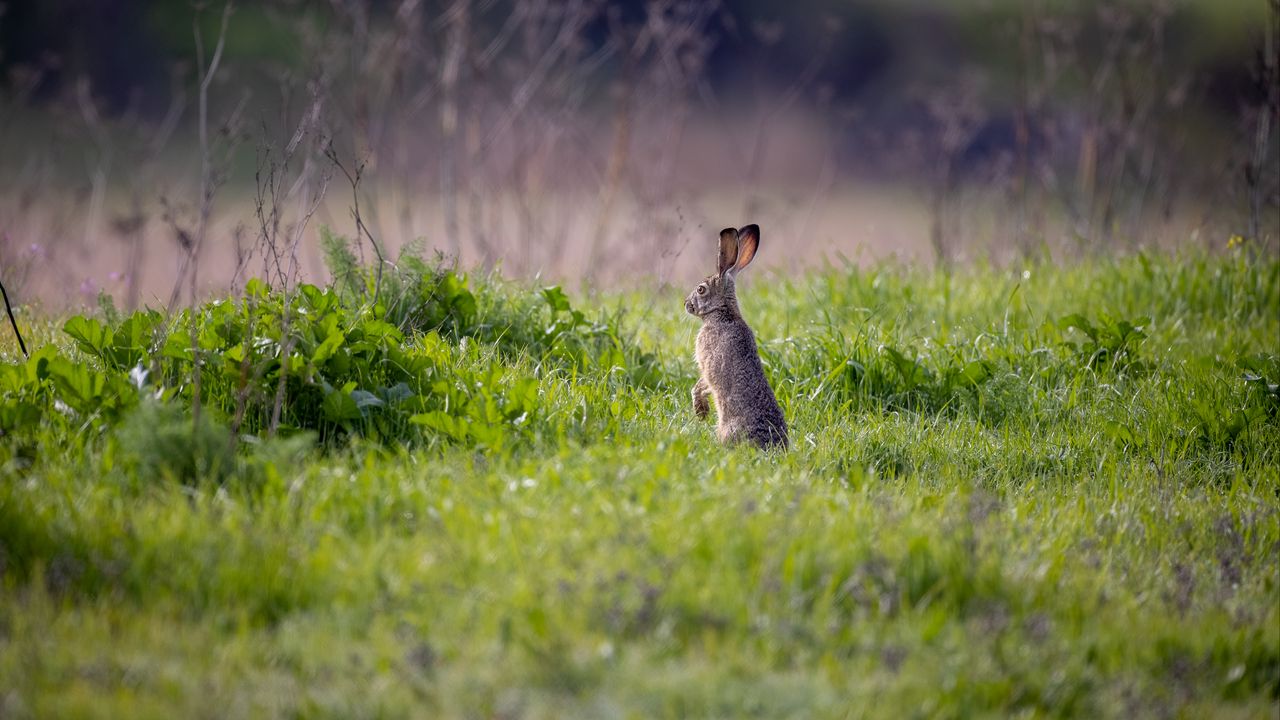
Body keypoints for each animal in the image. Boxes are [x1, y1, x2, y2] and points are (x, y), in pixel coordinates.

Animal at [684, 224, 789, 450]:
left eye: (701, 289)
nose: (686, 304)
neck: (723, 312)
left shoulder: (707, 364)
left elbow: (703, 384)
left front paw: (700, 410)